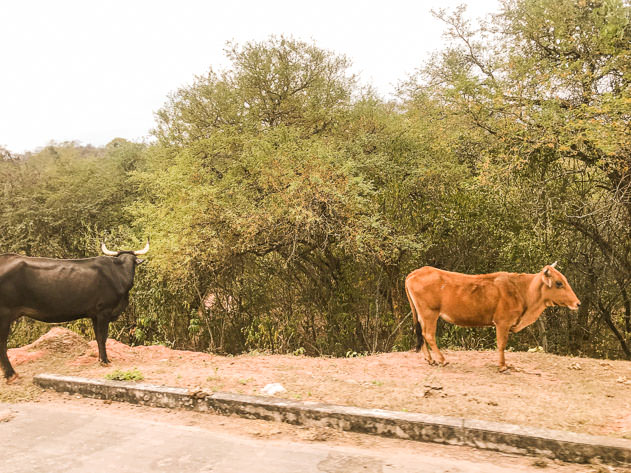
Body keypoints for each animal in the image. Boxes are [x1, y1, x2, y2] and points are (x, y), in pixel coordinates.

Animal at [0, 242, 149, 382]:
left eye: (133, 261)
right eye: (120, 262)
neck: (118, 274)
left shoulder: (95, 314)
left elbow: (98, 337)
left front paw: (100, 359)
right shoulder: (104, 312)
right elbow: (102, 337)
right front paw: (105, 361)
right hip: (4, 315)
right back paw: (11, 374)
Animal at [408, 264, 580, 370]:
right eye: (559, 283)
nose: (577, 303)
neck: (522, 290)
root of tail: (415, 273)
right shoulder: (502, 323)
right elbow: (501, 344)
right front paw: (503, 366)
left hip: (423, 315)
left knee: (421, 333)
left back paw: (430, 359)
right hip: (430, 313)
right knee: (428, 335)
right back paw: (442, 359)